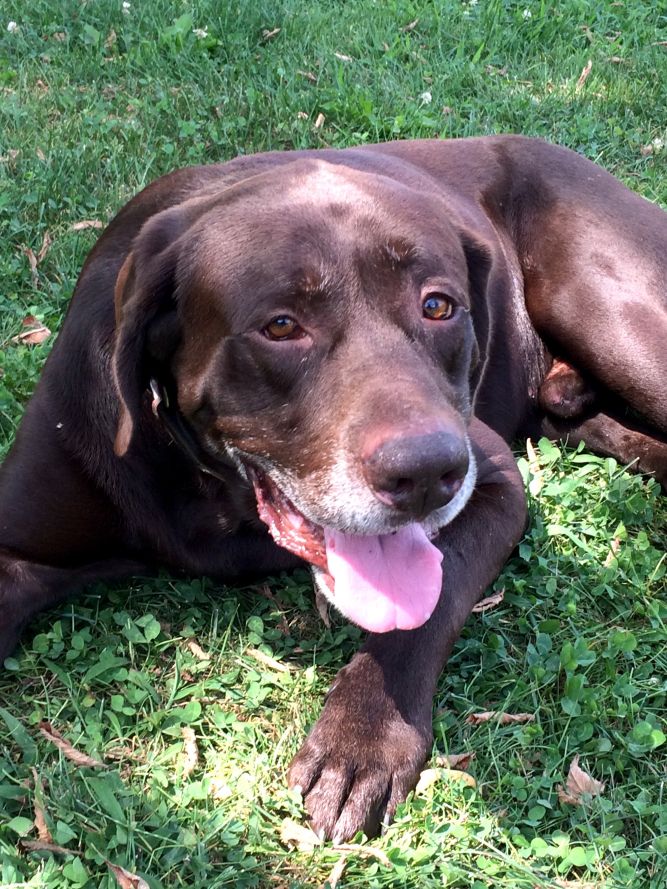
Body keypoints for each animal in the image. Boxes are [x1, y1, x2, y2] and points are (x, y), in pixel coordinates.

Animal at [0, 137, 664, 840]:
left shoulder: (494, 481)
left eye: (437, 305)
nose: (426, 473)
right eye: (281, 326)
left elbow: (432, 600)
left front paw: (362, 741)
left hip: (613, 319)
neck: (216, 492)